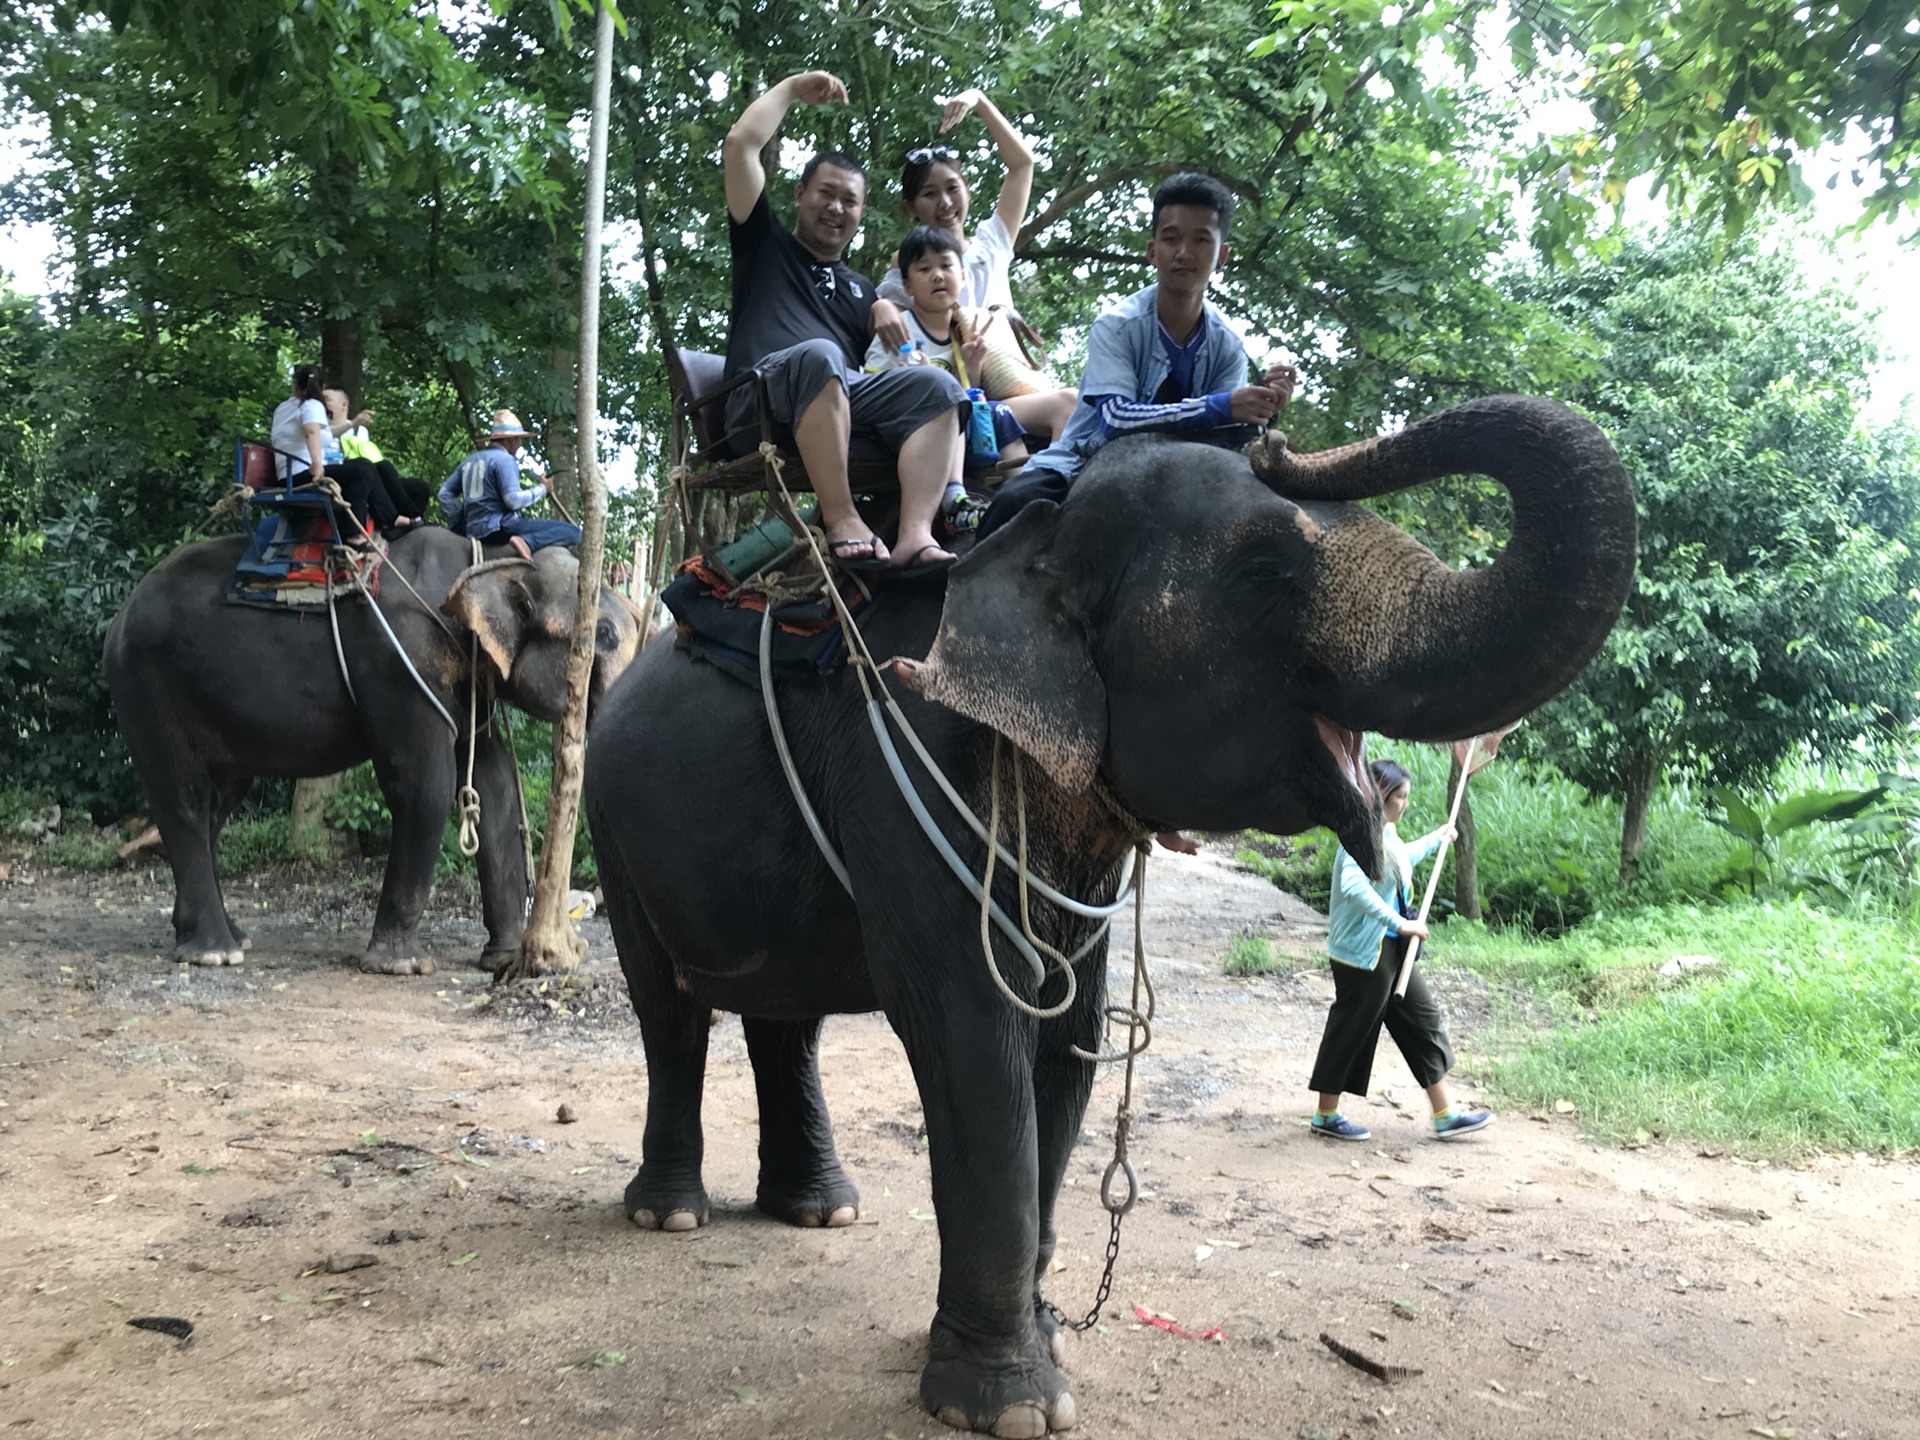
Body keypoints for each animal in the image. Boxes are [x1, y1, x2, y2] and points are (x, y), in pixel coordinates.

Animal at [103, 526, 645, 975]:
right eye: (604, 634)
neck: (485, 559)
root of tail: (119, 616)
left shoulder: (471, 677)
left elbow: (494, 792)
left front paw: (502, 960)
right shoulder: (401, 664)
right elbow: (425, 784)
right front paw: (401, 967)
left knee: (220, 802)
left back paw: (226, 937)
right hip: (150, 689)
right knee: (184, 799)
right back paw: (216, 953)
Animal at [583, 391, 1635, 1436]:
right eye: (1266, 574)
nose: (1275, 437)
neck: (1029, 532)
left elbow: (1074, 1035)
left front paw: (1049, 1336)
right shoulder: (902, 767)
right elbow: (973, 1031)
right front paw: (1012, 1406)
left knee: (784, 1018)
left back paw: (820, 1211)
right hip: (611, 823)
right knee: (668, 1011)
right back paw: (672, 1214)